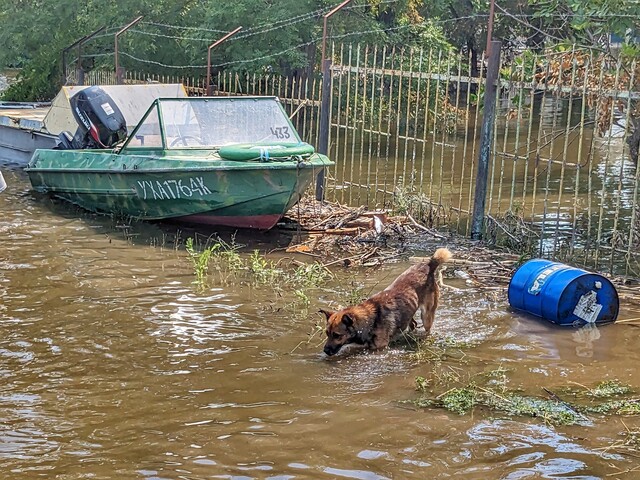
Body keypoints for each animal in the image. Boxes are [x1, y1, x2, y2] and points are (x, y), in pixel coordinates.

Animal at [318, 249, 450, 354]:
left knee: (426, 329)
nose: (325, 351)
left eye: (337, 335)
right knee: (413, 324)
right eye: (327, 333)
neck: (370, 320)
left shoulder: (379, 348)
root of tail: (428, 265)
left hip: (426, 315)